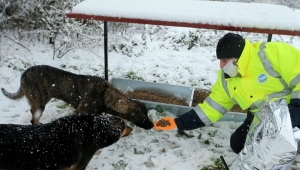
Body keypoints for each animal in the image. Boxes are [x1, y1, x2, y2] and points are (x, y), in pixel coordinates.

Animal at [1, 64, 154, 129]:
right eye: (143, 117)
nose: (152, 125)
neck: (105, 95)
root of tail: (23, 74)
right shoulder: (80, 112)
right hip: (40, 103)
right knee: (33, 118)